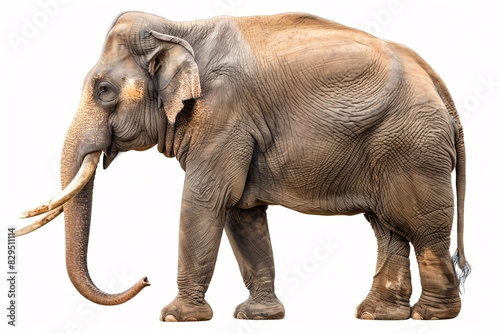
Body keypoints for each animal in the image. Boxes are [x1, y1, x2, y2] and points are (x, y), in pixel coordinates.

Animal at [19, 11, 470, 322]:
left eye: (104, 90)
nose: (145, 279)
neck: (180, 28)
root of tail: (443, 90)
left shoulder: (223, 115)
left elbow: (204, 200)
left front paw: (174, 317)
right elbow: (241, 211)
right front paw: (258, 316)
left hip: (413, 148)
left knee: (421, 226)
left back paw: (431, 316)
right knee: (387, 227)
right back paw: (378, 315)